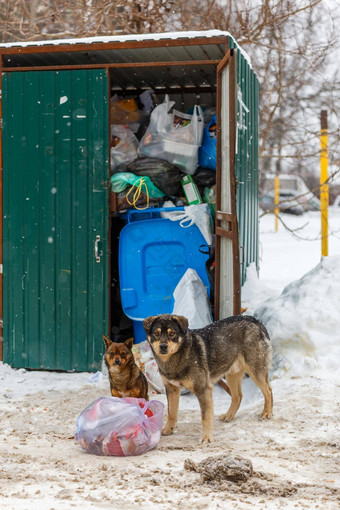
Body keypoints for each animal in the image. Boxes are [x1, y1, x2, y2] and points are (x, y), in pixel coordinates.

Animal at [143, 314, 274, 442]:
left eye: (172, 334)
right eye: (156, 334)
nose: (163, 347)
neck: (178, 357)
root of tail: (255, 320)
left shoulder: (203, 390)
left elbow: (205, 418)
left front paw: (206, 438)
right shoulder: (171, 389)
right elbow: (171, 413)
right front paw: (167, 430)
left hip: (255, 371)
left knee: (268, 390)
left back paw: (267, 413)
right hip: (231, 374)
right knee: (238, 396)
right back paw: (229, 415)